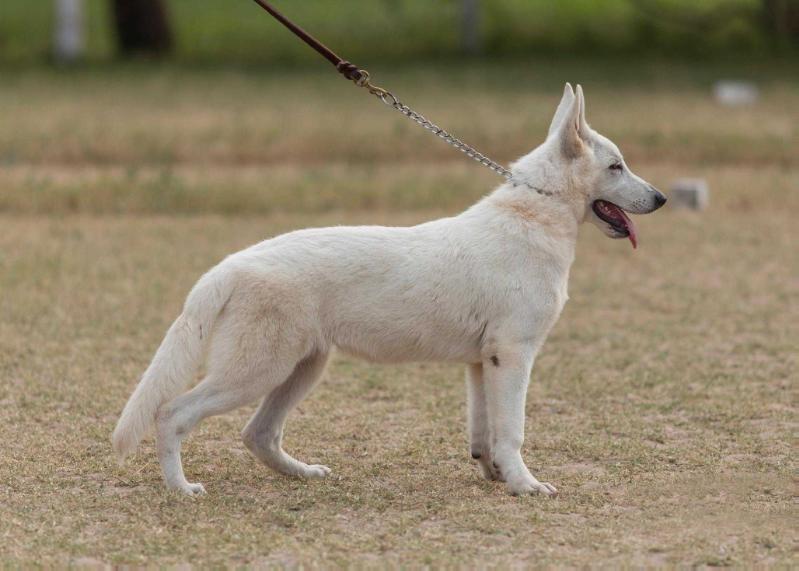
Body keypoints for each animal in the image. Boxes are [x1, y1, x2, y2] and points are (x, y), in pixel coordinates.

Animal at [112, 84, 668, 496]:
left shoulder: (481, 363)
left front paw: (494, 476)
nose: (662, 198)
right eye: (617, 166)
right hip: (256, 372)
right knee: (172, 414)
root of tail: (230, 265)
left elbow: (484, 432)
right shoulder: (513, 356)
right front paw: (525, 485)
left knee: (258, 435)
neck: (536, 213)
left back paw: (304, 474)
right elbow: (512, 431)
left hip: (300, 369)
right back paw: (181, 489)